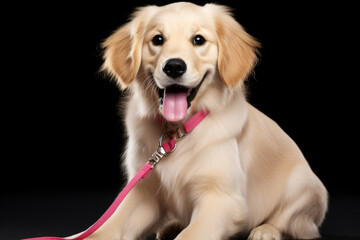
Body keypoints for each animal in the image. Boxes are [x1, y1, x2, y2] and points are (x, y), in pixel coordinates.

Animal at [90, 2, 330, 240]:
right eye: (158, 39)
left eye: (199, 40)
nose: (174, 66)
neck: (177, 132)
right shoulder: (144, 193)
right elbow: (106, 228)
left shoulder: (223, 199)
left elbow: (190, 235)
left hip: (303, 184)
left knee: (288, 220)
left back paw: (265, 230)